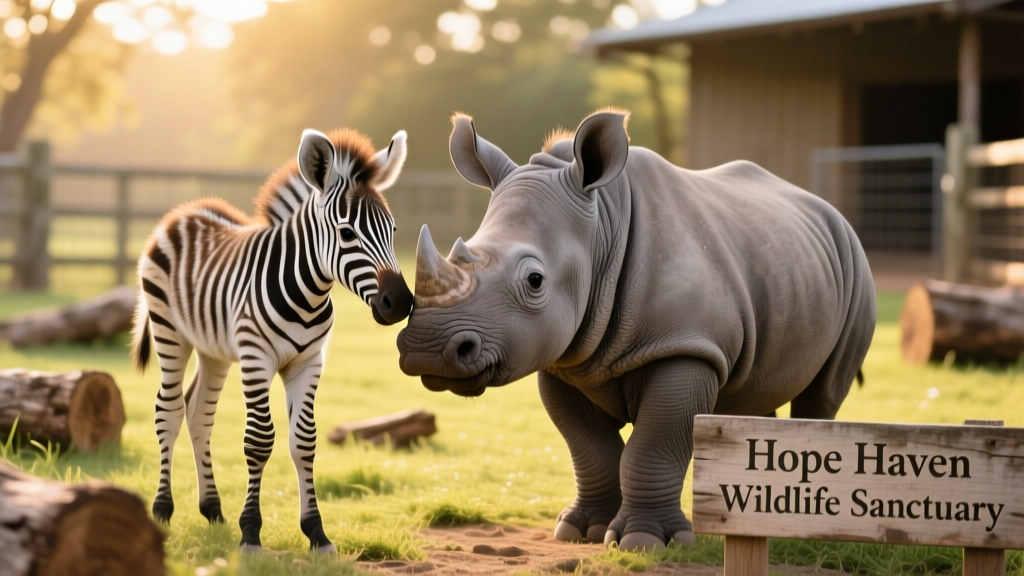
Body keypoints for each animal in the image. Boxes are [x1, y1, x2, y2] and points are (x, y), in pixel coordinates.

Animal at [130, 127, 413, 553]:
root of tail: (184, 212)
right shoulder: (255, 357)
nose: (401, 303)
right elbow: (259, 441)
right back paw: (162, 509)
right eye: (347, 233)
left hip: (213, 351)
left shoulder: (309, 362)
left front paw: (316, 532)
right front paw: (250, 532)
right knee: (168, 411)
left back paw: (212, 509)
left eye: (392, 231)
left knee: (198, 414)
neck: (307, 292)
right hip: (170, 333)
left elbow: (304, 441)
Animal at [397, 109, 876, 550]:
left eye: (534, 280)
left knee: (823, 392)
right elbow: (590, 449)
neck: (602, 229)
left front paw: (643, 541)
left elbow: (653, 448)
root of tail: (827, 210)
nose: (427, 350)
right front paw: (581, 531)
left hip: (854, 260)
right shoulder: (562, 358)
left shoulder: (684, 346)